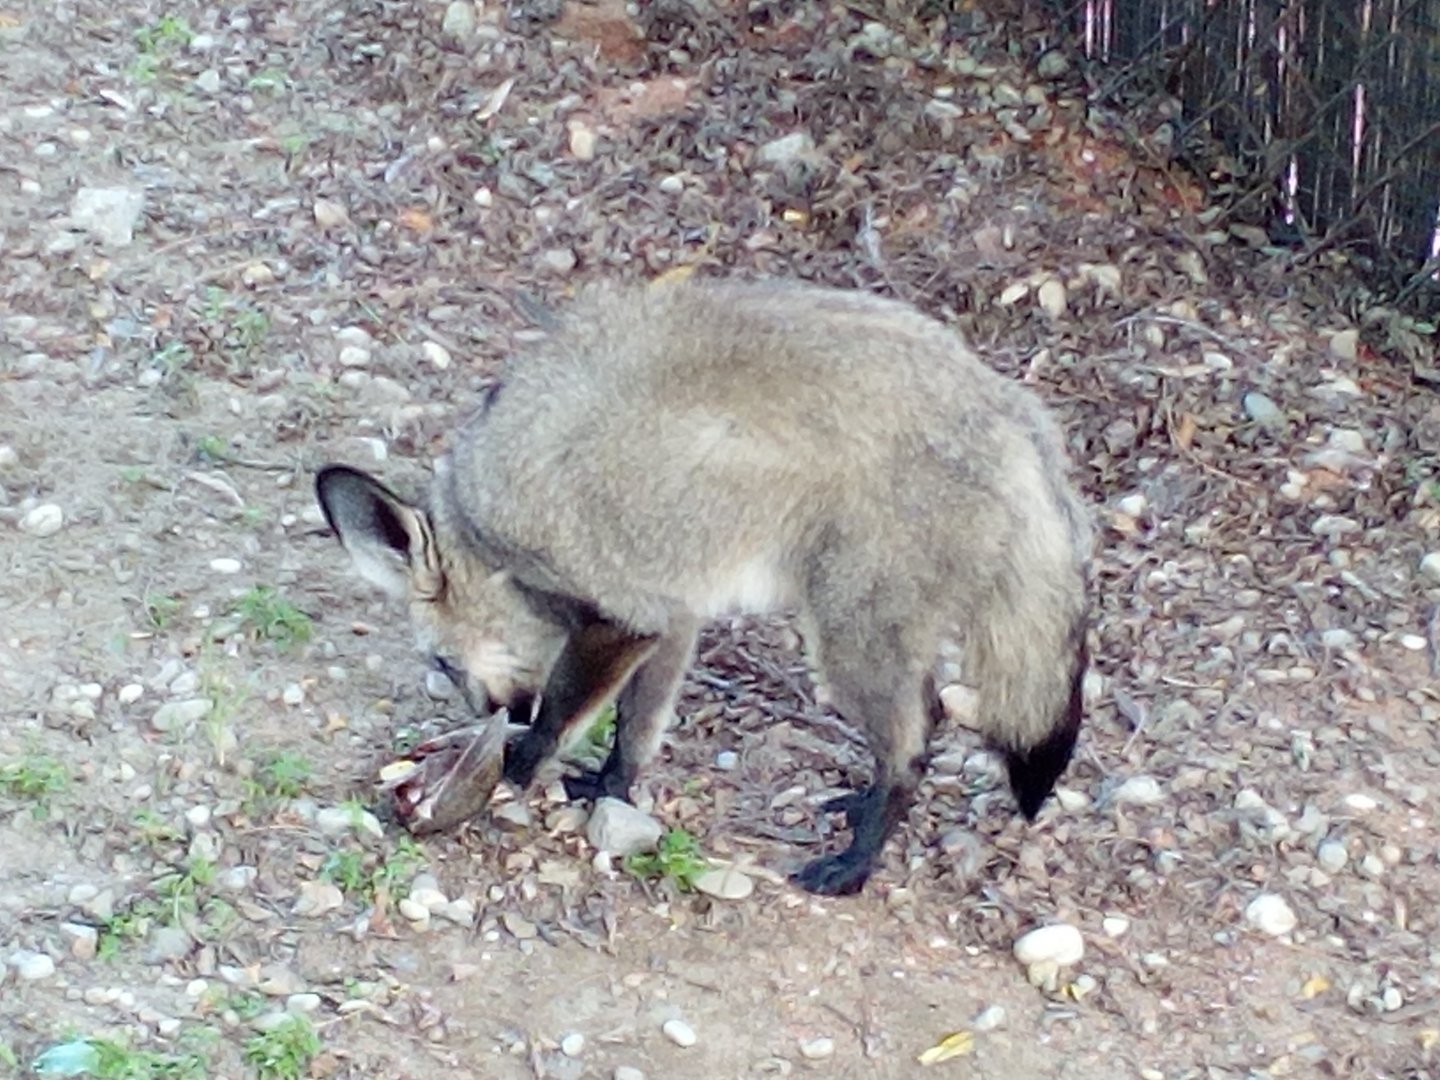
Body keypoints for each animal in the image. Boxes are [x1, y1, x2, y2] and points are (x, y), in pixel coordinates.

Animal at [314, 274, 1094, 897]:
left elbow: (563, 715)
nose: (488, 713)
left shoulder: (617, 613)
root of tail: (1012, 411)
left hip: (847, 637)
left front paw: (514, 768)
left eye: (441, 662)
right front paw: (609, 792)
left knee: (914, 744)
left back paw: (857, 862)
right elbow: (636, 732)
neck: (488, 528)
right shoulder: (670, 614)